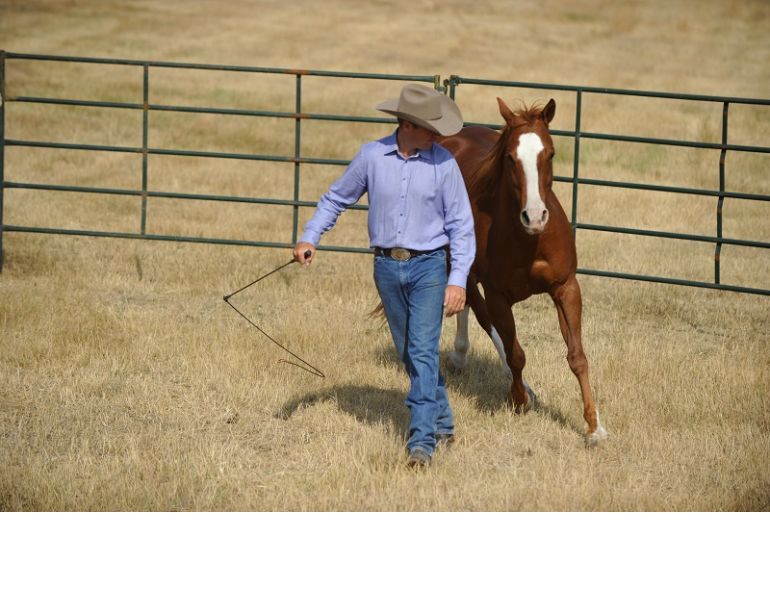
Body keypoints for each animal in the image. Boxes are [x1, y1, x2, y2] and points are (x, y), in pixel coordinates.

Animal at [440, 98, 608, 445]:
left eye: (551, 153)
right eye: (509, 157)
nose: (535, 216)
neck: (530, 240)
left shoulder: (566, 287)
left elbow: (577, 356)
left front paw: (594, 426)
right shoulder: (498, 295)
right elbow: (515, 352)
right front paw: (519, 399)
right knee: (479, 313)